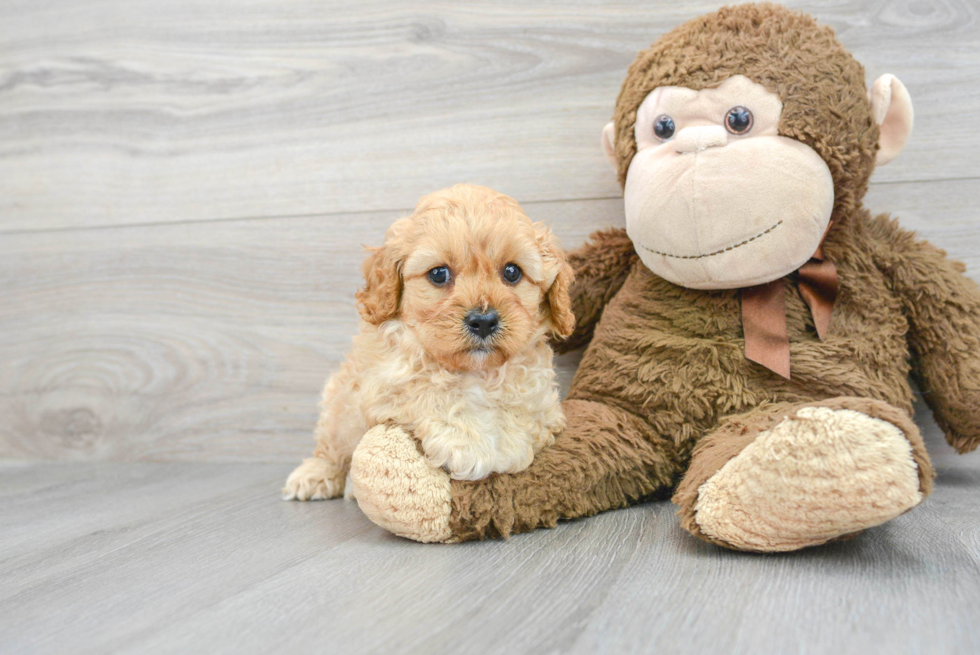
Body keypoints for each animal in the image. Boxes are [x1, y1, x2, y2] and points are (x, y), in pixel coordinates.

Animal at [282, 182, 576, 500]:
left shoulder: (543, 399)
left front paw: (507, 440)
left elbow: (523, 400)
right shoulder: (381, 383)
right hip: (337, 403)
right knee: (331, 446)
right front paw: (470, 443)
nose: (483, 321)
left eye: (512, 272)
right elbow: (425, 391)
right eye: (438, 273)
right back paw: (315, 475)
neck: (475, 372)